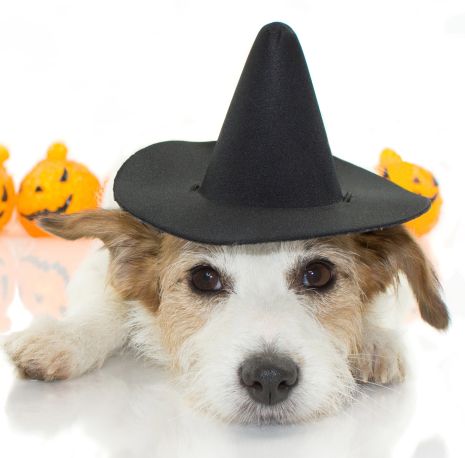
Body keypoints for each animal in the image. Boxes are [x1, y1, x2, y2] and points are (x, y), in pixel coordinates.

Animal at [0, 205, 450, 426]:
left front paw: (375, 340)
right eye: (204, 278)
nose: (269, 378)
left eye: (317, 274)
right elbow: (111, 303)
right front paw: (64, 339)